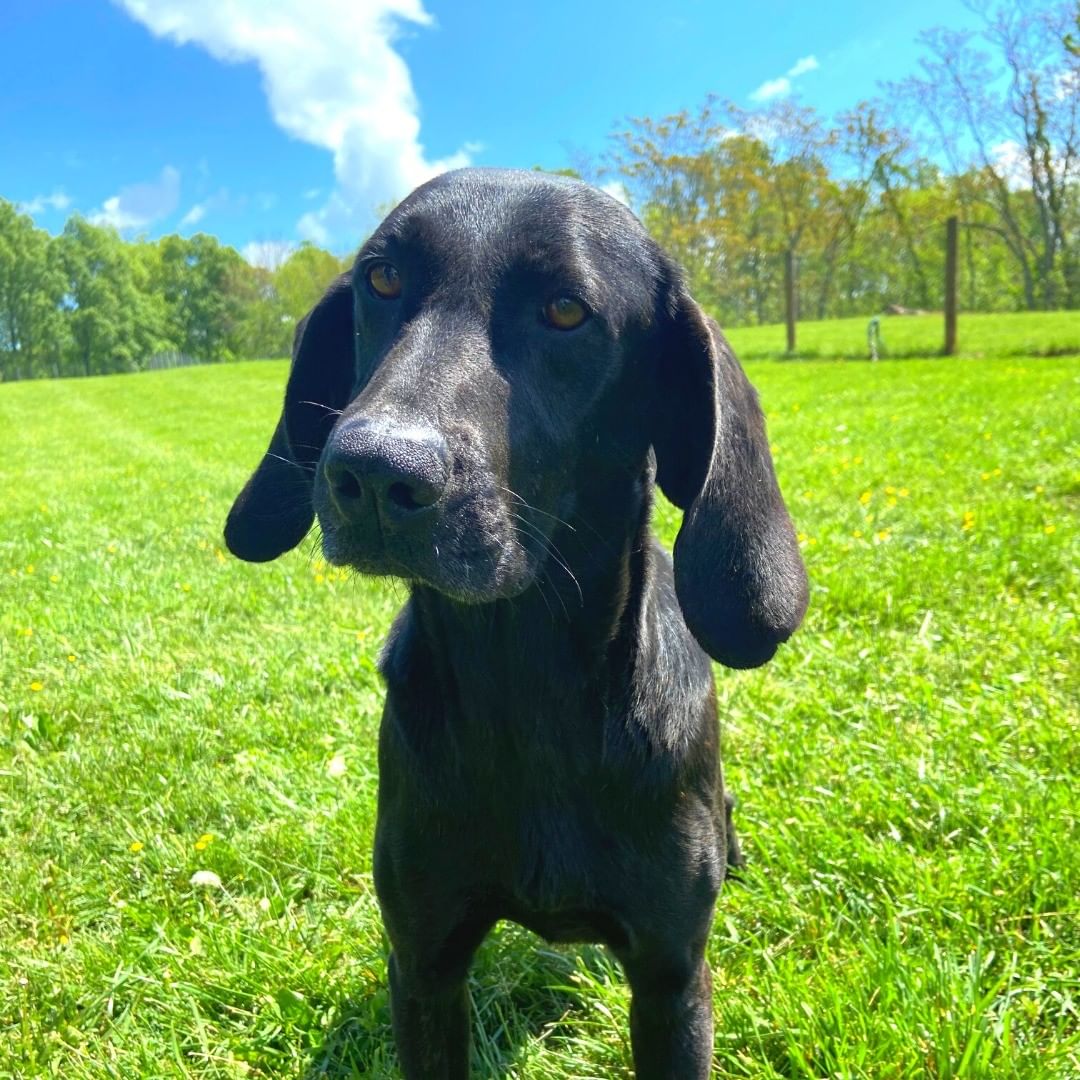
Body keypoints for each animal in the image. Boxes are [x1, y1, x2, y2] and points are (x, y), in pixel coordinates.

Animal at [225, 168, 803, 1071]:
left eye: (566, 310)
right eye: (381, 279)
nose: (372, 472)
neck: (526, 687)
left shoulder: (672, 981)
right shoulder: (423, 963)